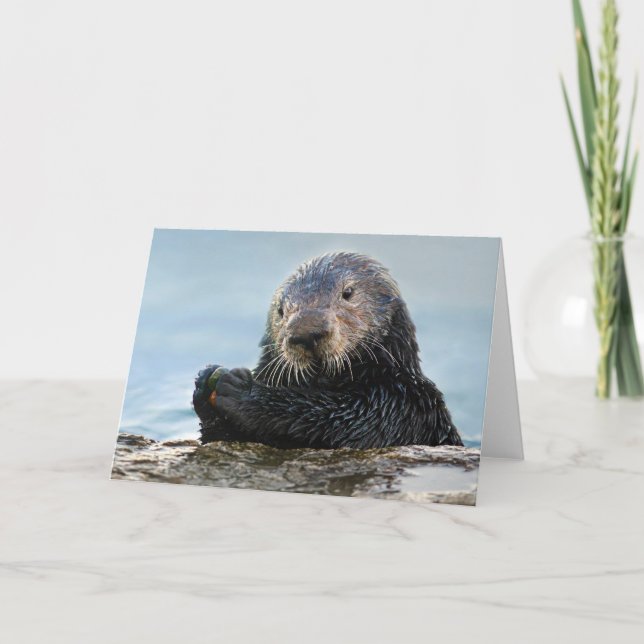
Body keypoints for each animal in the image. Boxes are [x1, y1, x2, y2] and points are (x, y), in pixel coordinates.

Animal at [192, 252, 463, 449]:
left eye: (348, 292)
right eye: (281, 310)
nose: (307, 331)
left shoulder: (399, 407)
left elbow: (336, 422)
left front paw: (243, 391)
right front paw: (205, 381)